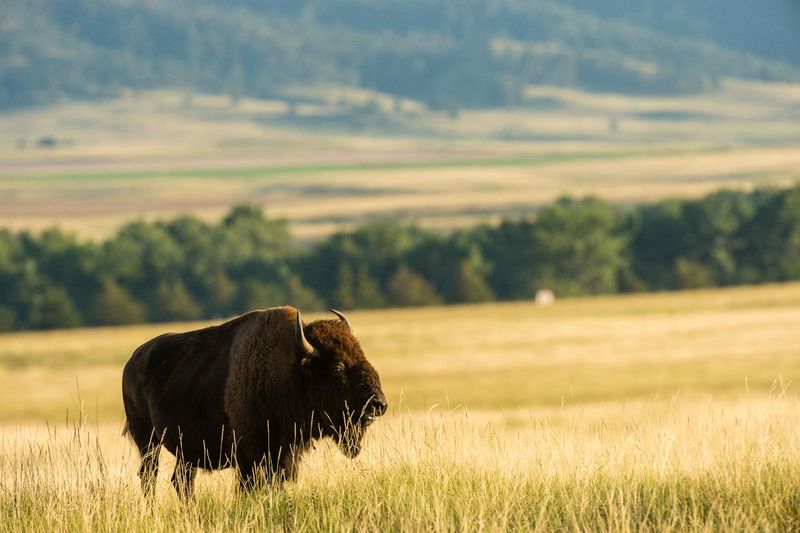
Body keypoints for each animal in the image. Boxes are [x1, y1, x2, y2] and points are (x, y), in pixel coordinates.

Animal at [119, 306, 390, 496]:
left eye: (362, 355)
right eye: (337, 367)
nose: (378, 404)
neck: (290, 370)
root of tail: (132, 361)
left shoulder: (282, 455)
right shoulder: (249, 456)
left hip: (185, 451)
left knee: (182, 481)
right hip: (148, 441)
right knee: (149, 476)